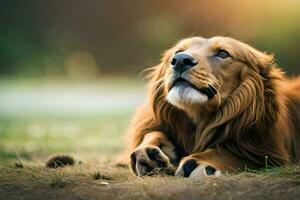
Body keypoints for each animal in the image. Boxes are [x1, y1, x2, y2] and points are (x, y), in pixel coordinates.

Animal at [125, 36, 298, 179]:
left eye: (223, 54)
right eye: (178, 52)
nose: (180, 60)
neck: (198, 117)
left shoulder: (270, 152)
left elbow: (233, 154)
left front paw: (199, 164)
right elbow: (153, 133)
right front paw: (147, 154)